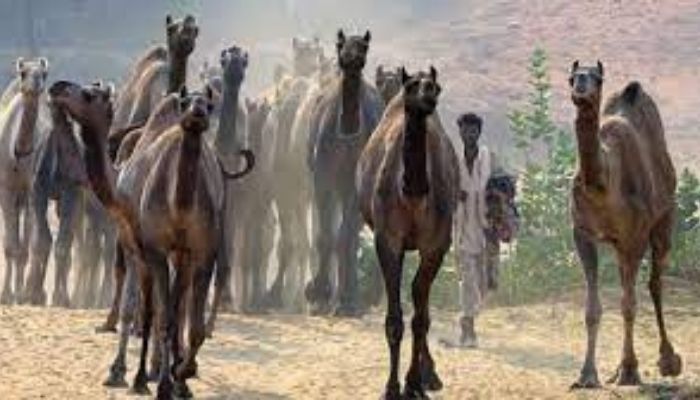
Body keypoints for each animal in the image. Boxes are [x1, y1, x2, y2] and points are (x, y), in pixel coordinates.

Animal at [50, 80, 253, 398]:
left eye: (89, 95)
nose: (57, 88)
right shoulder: (144, 246)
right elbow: (151, 308)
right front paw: (149, 373)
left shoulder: (139, 245)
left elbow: (142, 307)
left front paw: (127, 373)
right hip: (180, 251)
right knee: (175, 301)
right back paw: (175, 369)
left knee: (176, 302)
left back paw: (173, 369)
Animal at [305, 29, 383, 316]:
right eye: (340, 44)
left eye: (364, 45)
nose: (350, 57)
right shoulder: (322, 178)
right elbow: (324, 235)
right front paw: (317, 294)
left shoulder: (354, 184)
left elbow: (344, 236)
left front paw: (344, 301)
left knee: (349, 236)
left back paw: (350, 299)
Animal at [357, 66, 458, 399]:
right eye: (412, 85)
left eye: (436, 86)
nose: (428, 96)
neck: (412, 194)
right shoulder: (387, 240)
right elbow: (395, 319)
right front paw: (392, 387)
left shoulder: (437, 245)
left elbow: (420, 316)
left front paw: (415, 383)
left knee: (420, 302)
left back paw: (429, 375)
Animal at [568, 61, 682, 389]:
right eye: (572, 76)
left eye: (598, 78)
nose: (581, 83)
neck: (604, 185)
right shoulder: (582, 233)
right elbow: (592, 309)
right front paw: (587, 375)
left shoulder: (636, 235)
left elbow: (629, 305)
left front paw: (630, 371)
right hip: (620, 245)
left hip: (664, 219)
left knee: (654, 283)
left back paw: (668, 361)